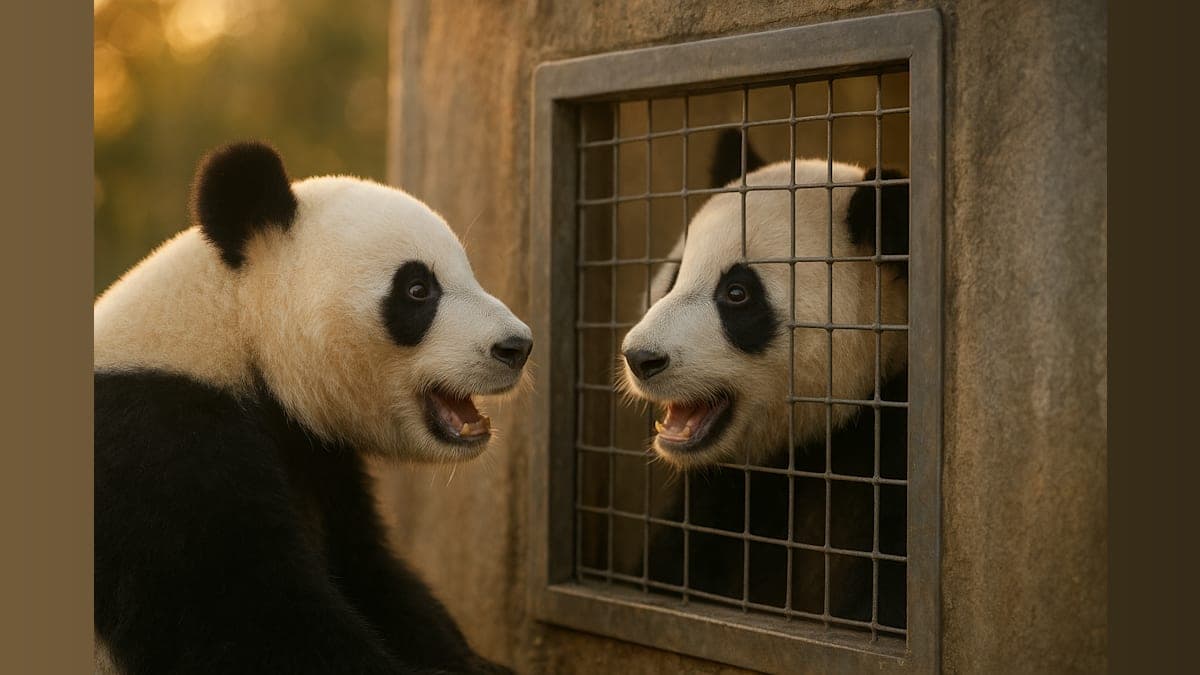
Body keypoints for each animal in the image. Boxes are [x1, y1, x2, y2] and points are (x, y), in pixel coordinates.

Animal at [94, 143, 529, 674]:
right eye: (418, 289)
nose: (517, 346)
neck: (233, 325)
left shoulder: (320, 459)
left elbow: (369, 570)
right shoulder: (155, 449)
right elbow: (248, 622)